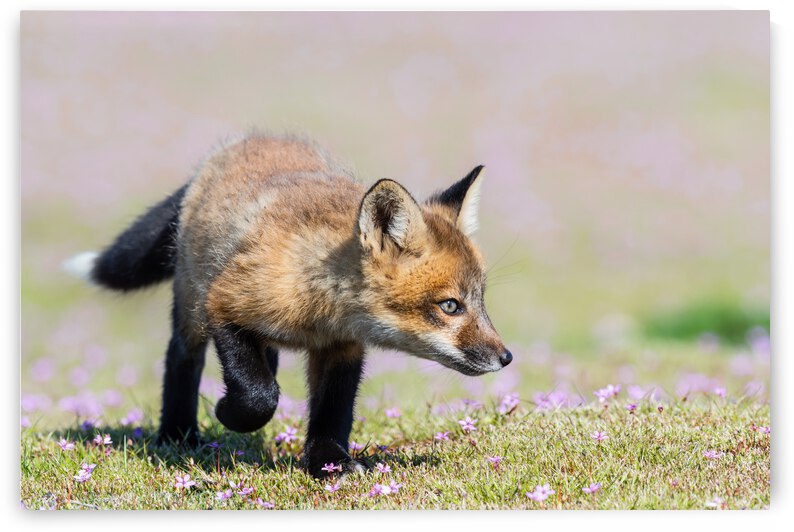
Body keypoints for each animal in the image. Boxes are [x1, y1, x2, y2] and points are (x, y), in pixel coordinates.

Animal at [65, 132, 512, 478]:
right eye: (450, 306)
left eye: (480, 299)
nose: (506, 357)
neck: (319, 311)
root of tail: (247, 139)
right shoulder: (224, 304)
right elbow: (259, 396)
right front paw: (228, 414)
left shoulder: (341, 349)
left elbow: (332, 412)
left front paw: (329, 465)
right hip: (191, 305)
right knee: (182, 360)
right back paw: (178, 435)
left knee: (267, 359)